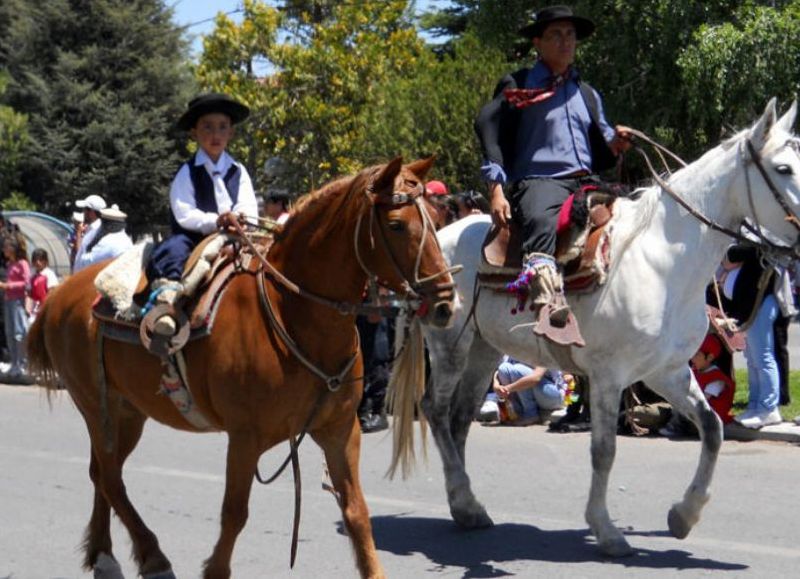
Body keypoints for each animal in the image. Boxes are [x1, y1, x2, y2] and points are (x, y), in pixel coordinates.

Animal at [28, 156, 456, 576]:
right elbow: (234, 514)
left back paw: (105, 554)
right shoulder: (245, 438)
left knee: (103, 472)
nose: (445, 302)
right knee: (110, 477)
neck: (293, 313)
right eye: (397, 224)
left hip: (127, 411)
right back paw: (152, 555)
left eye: (437, 218)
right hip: (95, 407)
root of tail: (60, 294)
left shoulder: (340, 430)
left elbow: (357, 512)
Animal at [390, 99, 800, 556]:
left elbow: (711, 429)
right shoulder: (609, 374)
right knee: (436, 411)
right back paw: (464, 501)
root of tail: (437, 238)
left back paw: (466, 507)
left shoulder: (666, 371)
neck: (663, 261)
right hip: (450, 344)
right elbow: (604, 450)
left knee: (459, 419)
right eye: (784, 168)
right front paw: (606, 530)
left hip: (484, 349)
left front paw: (684, 515)